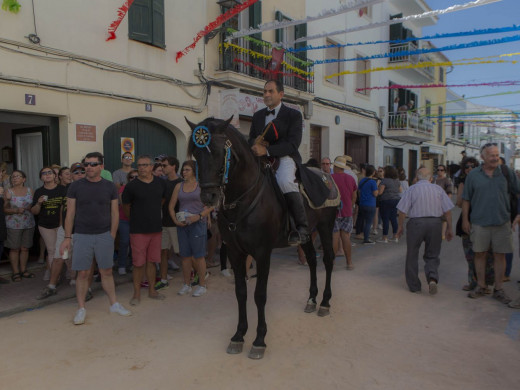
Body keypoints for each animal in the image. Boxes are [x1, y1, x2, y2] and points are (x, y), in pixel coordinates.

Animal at [187, 116, 338, 360]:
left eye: (219, 151)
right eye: (195, 153)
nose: (208, 196)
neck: (243, 198)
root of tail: (325, 176)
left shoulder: (262, 253)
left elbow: (259, 295)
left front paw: (259, 340)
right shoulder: (235, 252)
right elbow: (241, 293)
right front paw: (239, 335)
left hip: (326, 227)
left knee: (328, 260)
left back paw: (324, 302)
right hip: (306, 235)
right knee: (312, 262)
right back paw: (312, 300)